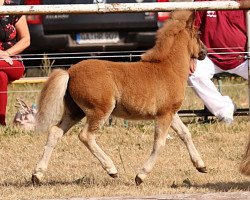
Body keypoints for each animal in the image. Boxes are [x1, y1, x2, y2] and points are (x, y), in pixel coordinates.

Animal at [31, 10, 207, 186]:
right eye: (198, 34)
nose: (204, 52)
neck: (169, 68)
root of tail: (70, 72)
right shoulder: (164, 115)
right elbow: (159, 143)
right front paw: (140, 175)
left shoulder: (171, 112)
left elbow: (185, 133)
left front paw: (201, 165)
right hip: (100, 110)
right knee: (86, 136)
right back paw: (112, 169)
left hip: (74, 112)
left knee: (55, 132)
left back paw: (37, 175)